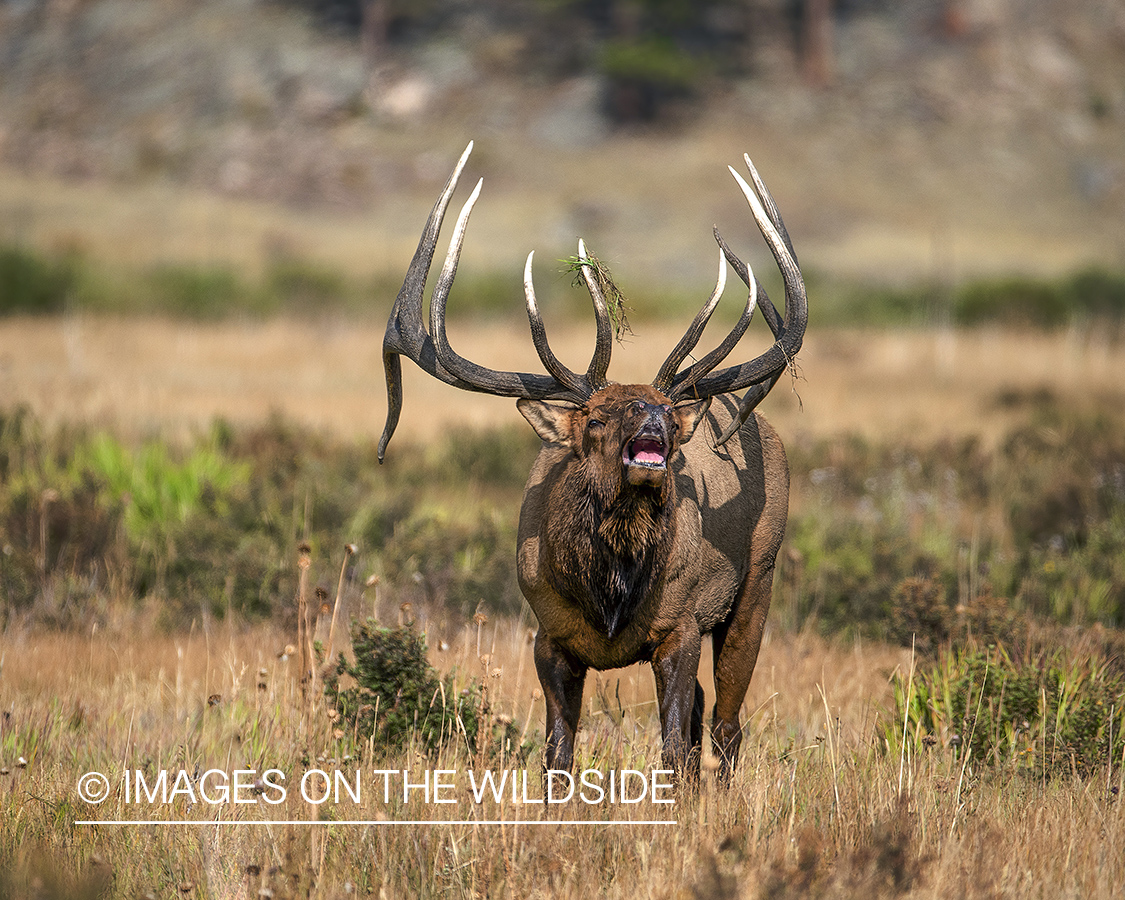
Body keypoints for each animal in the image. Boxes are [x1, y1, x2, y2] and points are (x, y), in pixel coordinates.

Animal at [382, 142, 805, 778]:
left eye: (666, 413)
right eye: (597, 419)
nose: (652, 418)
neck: (608, 595)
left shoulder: (680, 626)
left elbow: (673, 749)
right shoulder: (548, 636)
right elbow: (556, 755)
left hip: (758, 579)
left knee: (726, 722)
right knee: (707, 712)